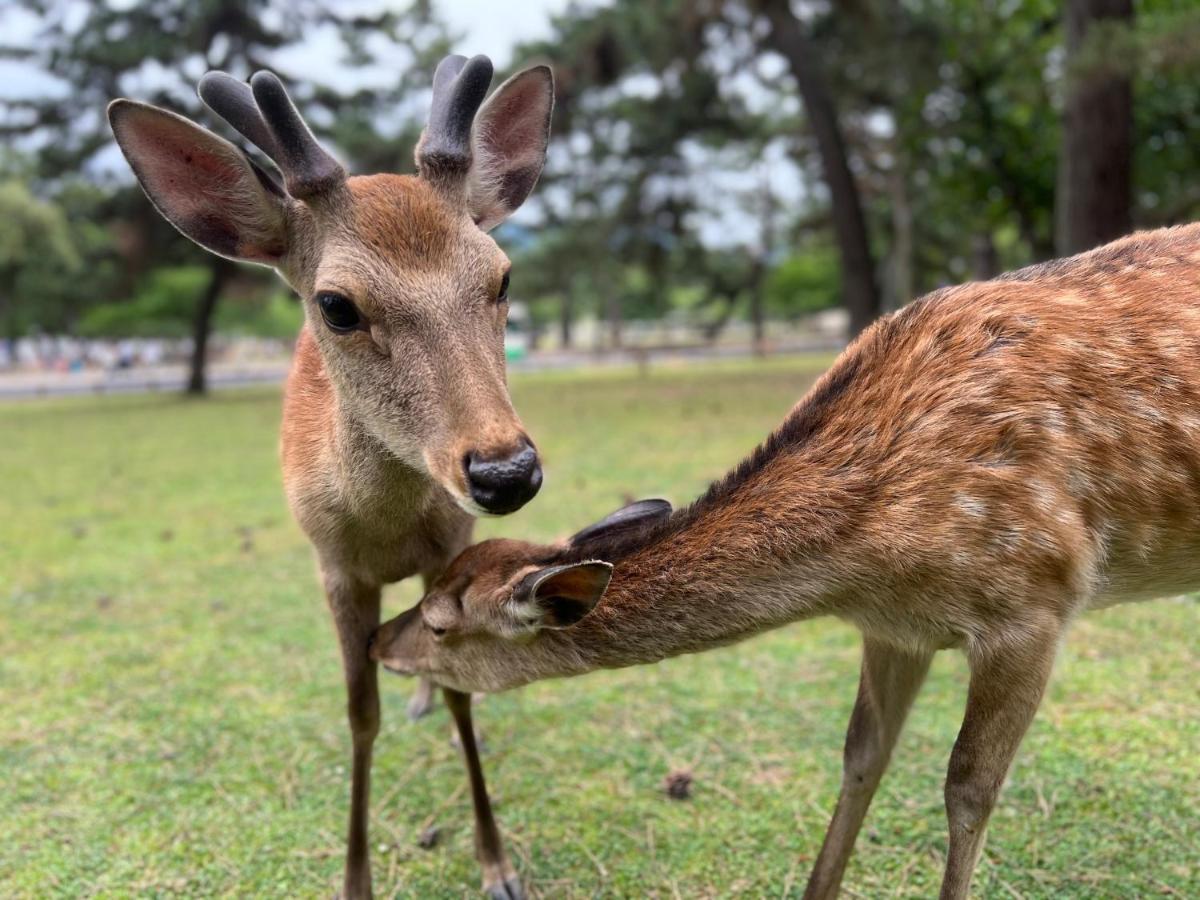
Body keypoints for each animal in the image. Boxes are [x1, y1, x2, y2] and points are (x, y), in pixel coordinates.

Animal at [109, 52, 552, 897]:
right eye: (337, 305)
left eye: (505, 278)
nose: (505, 471)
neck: (385, 531)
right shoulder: (334, 569)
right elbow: (359, 715)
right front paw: (354, 879)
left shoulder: (452, 547)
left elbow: (460, 694)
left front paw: (498, 864)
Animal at [369, 222, 1200, 897]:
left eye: (439, 622)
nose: (377, 640)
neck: (864, 558)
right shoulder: (896, 629)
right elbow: (862, 755)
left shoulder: (1034, 604)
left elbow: (968, 788)